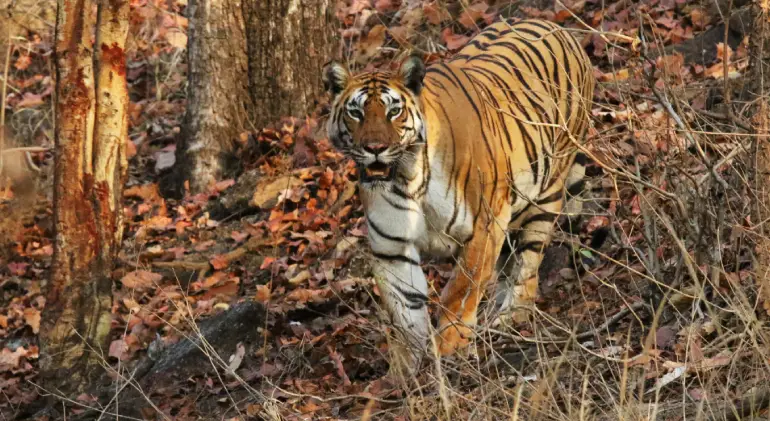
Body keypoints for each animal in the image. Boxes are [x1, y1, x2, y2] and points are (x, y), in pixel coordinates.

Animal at [320, 18, 596, 372]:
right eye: (355, 113)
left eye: (393, 111)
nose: (375, 148)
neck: (409, 178)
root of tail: (561, 29)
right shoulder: (392, 249)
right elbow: (404, 310)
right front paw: (408, 372)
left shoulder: (485, 226)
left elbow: (460, 290)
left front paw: (451, 346)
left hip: (546, 193)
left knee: (528, 263)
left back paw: (511, 316)